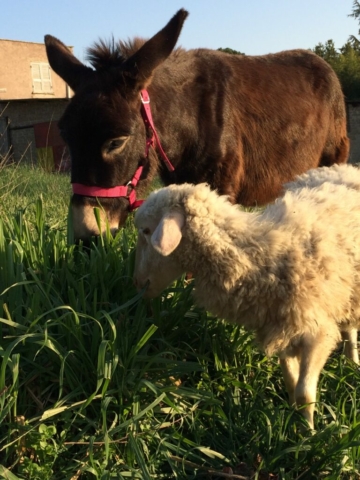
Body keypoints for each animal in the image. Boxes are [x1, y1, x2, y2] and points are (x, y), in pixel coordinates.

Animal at [133, 165, 360, 428]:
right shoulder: (280, 327)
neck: (257, 253)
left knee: (350, 329)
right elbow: (291, 383)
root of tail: (343, 168)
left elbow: (304, 393)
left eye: (147, 231)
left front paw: (309, 433)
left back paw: (353, 363)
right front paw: (294, 423)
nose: (137, 283)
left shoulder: (317, 332)